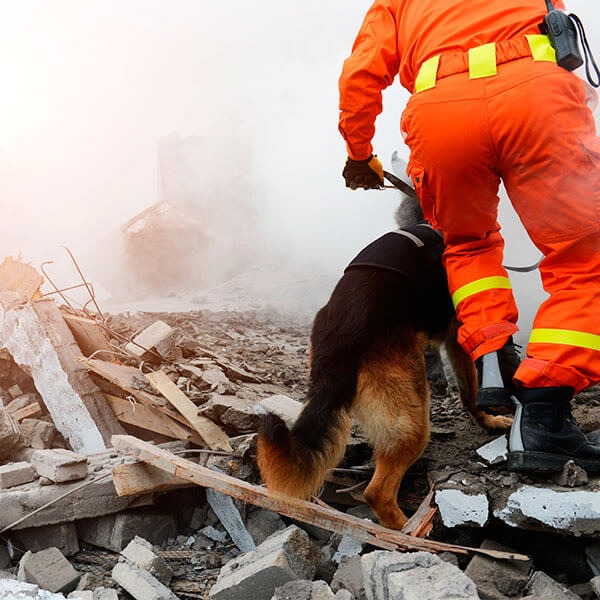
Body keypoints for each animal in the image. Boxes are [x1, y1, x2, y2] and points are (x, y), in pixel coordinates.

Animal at [258, 198, 510, 528]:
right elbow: (471, 388)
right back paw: (410, 531)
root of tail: (339, 341)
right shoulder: (458, 333)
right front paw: (489, 418)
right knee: (377, 493)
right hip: (412, 419)